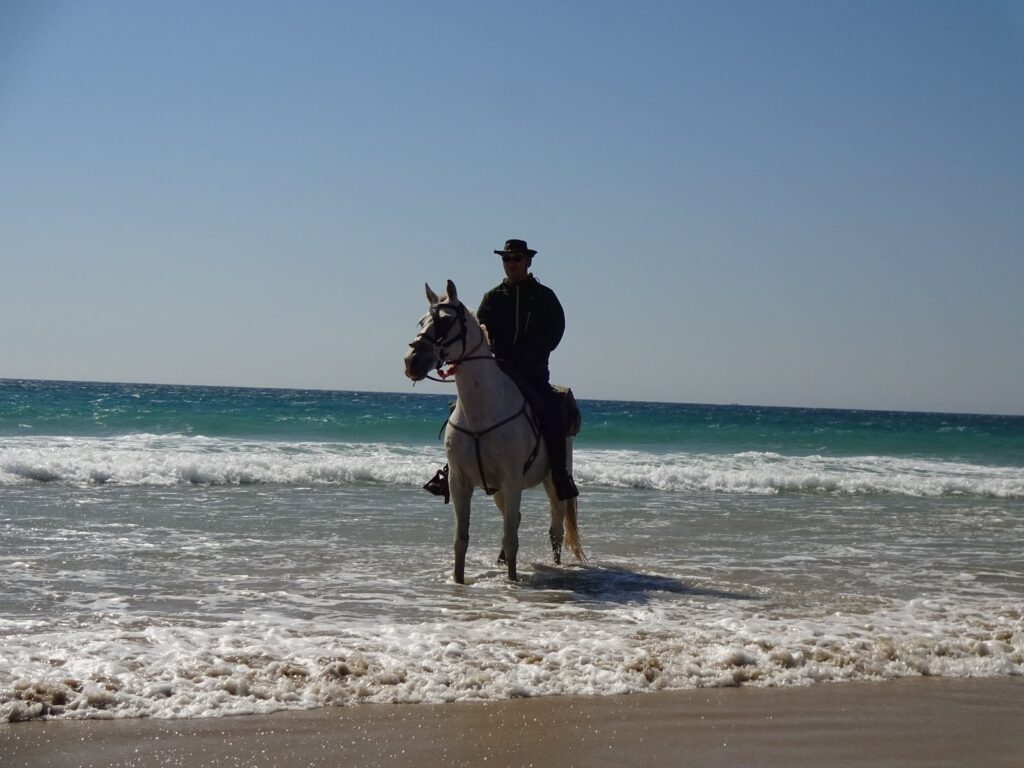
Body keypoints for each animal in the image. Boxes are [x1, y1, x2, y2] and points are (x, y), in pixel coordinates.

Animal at [404, 279, 585, 584]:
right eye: (421, 321)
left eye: (446, 322)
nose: (412, 361)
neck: (481, 412)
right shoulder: (460, 482)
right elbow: (461, 540)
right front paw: (459, 581)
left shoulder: (512, 480)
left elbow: (512, 539)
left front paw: (512, 581)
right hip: (500, 491)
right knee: (515, 521)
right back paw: (500, 561)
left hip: (552, 482)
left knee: (555, 529)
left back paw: (555, 565)